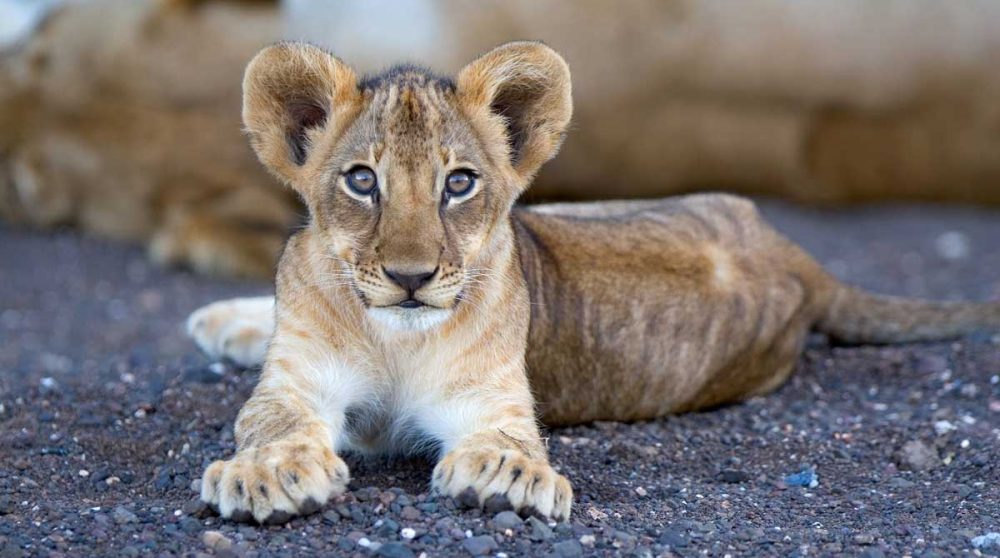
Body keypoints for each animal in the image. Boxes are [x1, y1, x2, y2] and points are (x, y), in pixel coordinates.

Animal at [185, 41, 1000, 524]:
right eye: (362, 181)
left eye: (458, 183)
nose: (411, 278)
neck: (395, 339)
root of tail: (786, 245)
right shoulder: (296, 381)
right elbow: (275, 420)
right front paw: (270, 476)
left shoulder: (493, 397)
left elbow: (508, 438)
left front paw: (507, 475)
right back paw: (220, 321)